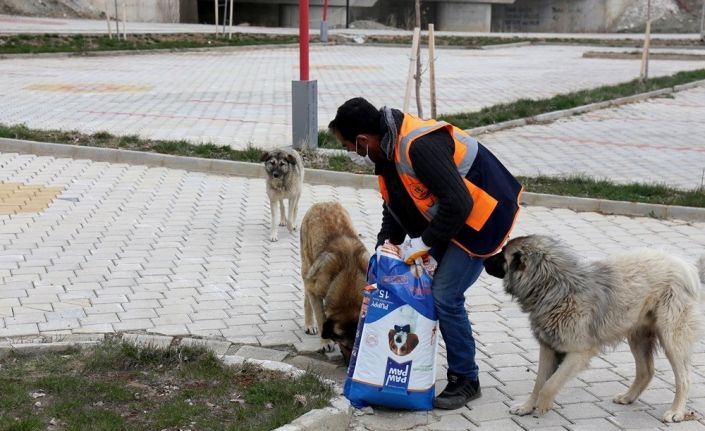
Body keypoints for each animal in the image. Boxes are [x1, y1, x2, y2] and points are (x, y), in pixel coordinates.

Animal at [298, 202, 368, 364]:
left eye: (356, 347)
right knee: (307, 296)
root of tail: (322, 203)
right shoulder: (315, 289)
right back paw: (309, 324)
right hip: (308, 267)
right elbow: (321, 318)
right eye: (345, 346)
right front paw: (325, 342)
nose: (349, 366)